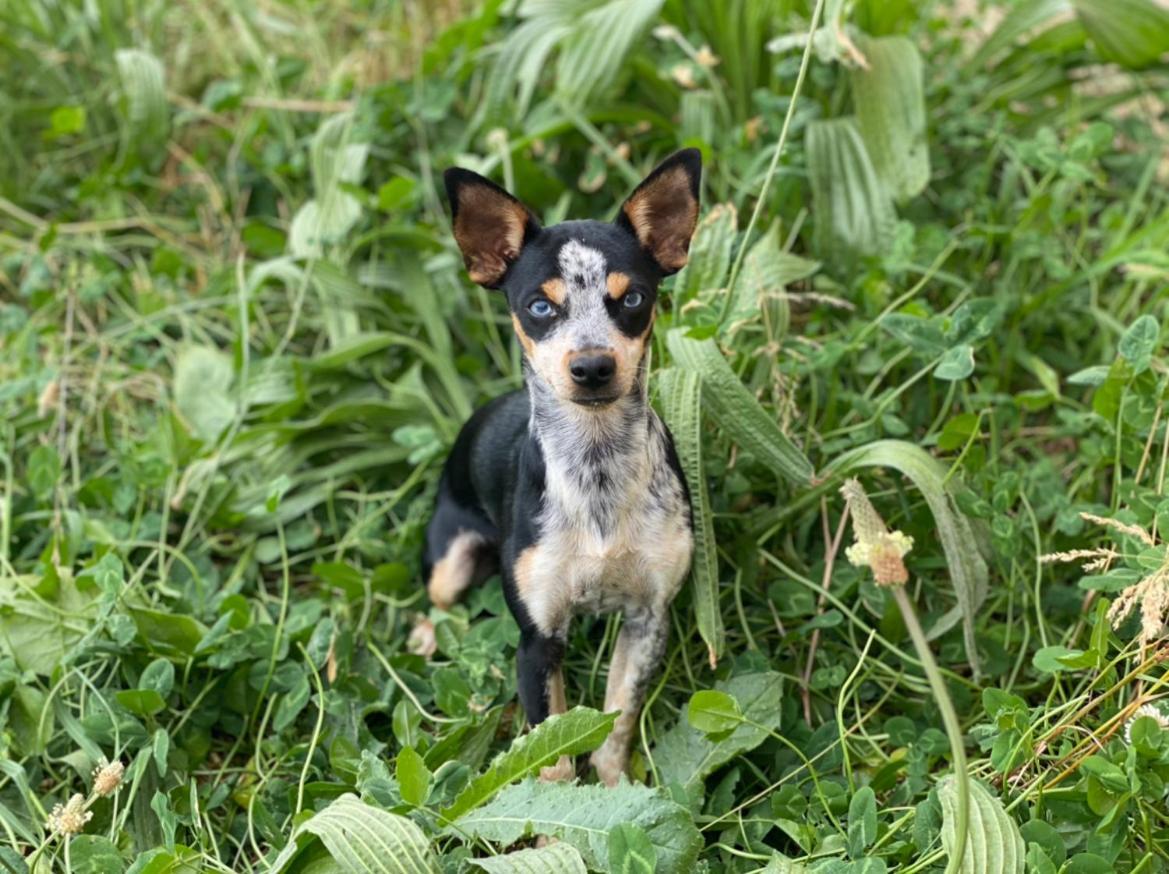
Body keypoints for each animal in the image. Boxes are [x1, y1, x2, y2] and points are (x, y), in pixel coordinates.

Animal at [425, 148, 696, 785]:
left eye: (632, 299)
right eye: (540, 306)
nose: (592, 367)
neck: (596, 467)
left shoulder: (648, 620)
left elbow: (616, 721)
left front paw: (616, 788)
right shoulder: (537, 641)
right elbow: (550, 758)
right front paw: (554, 813)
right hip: (450, 560)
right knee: (436, 599)